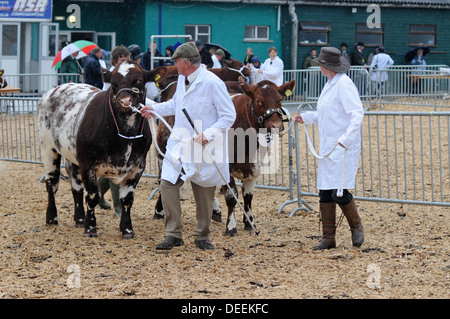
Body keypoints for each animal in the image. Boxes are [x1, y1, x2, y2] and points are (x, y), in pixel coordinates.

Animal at [38, 61, 167, 239]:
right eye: (113, 83)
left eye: (139, 80)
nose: (124, 101)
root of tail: (56, 89)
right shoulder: (88, 163)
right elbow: (93, 196)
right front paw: (90, 228)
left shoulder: (138, 166)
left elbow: (127, 199)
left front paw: (127, 230)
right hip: (48, 149)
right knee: (52, 183)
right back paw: (52, 218)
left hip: (72, 156)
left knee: (76, 187)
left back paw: (79, 219)